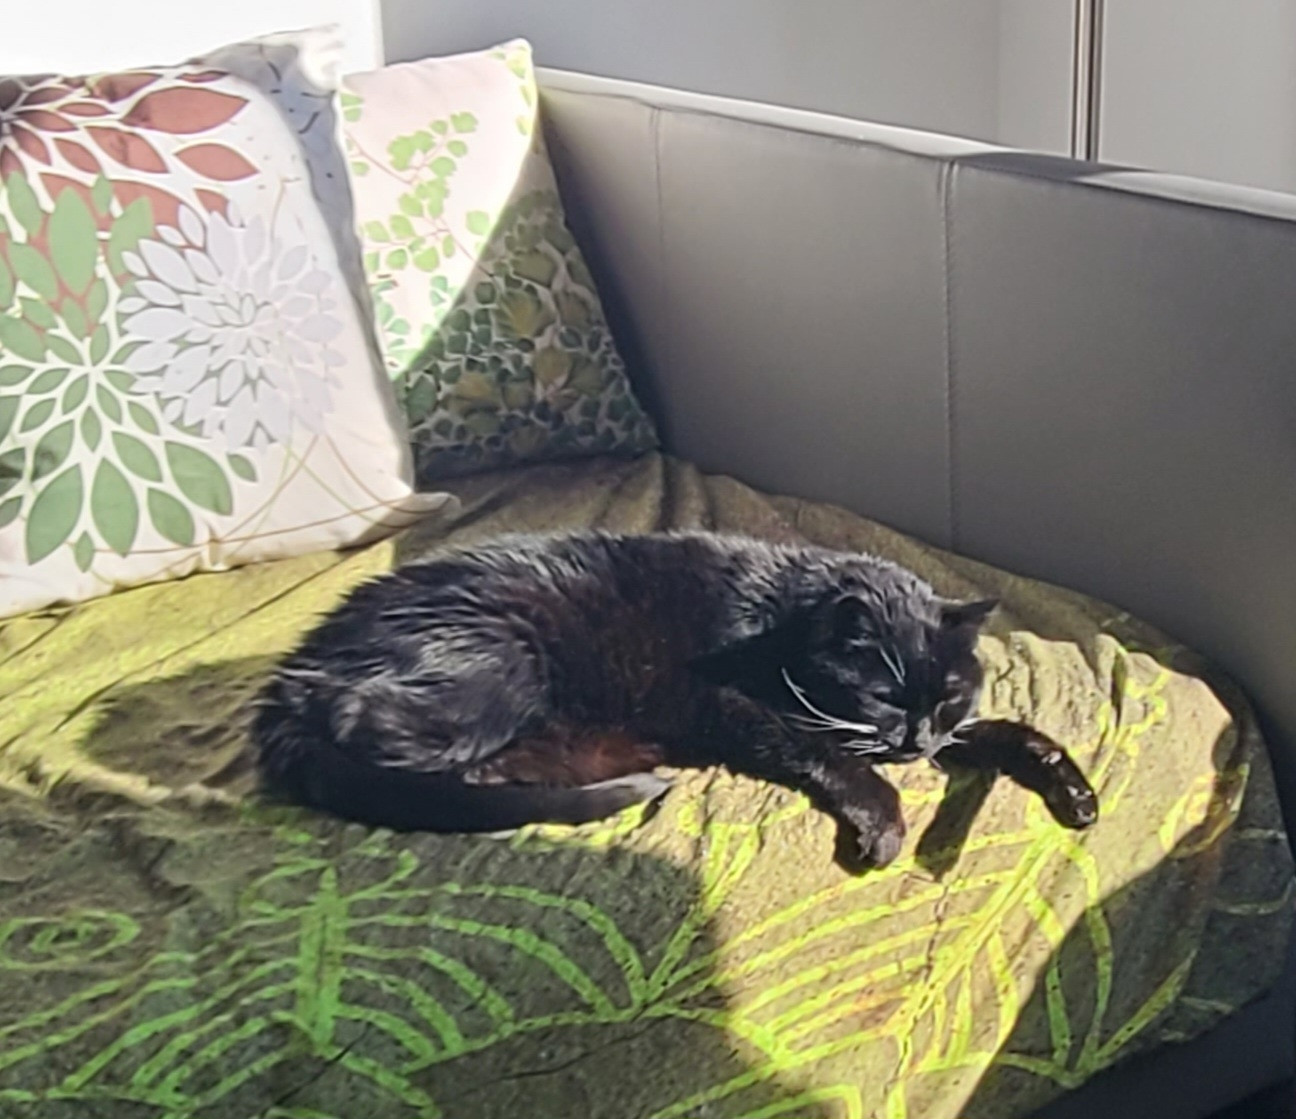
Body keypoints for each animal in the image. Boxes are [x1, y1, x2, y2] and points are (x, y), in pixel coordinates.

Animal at [250, 531, 1093, 866]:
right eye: (882, 691)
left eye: (945, 691)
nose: (915, 738)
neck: (781, 625)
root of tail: (293, 676)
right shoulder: (724, 703)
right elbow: (835, 757)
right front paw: (883, 829)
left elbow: (1007, 728)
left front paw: (1074, 790)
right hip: (501, 658)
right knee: (366, 724)